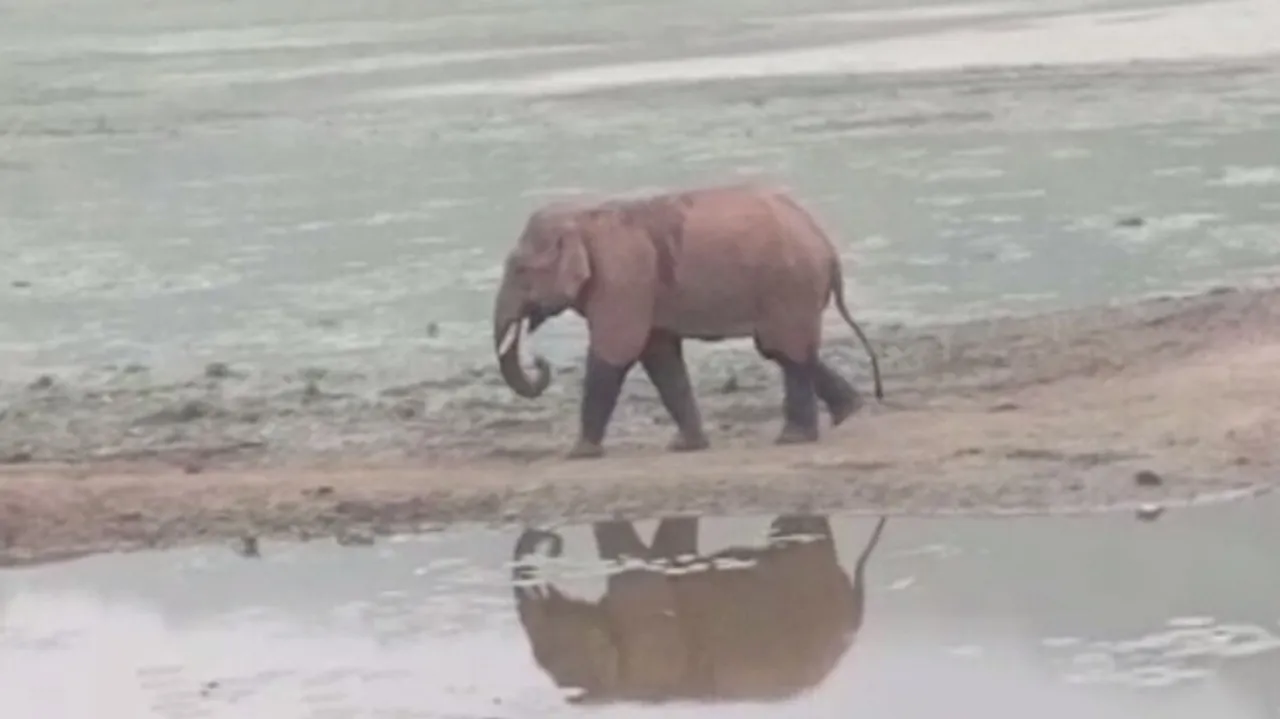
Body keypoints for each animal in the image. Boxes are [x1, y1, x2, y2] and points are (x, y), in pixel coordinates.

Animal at [492, 182, 884, 459]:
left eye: (520, 270)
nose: (539, 360)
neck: (585, 218)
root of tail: (827, 245)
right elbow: (660, 356)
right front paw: (685, 446)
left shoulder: (623, 281)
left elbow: (616, 350)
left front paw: (578, 454)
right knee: (783, 348)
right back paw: (848, 412)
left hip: (789, 285)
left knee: (783, 348)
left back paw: (794, 438)